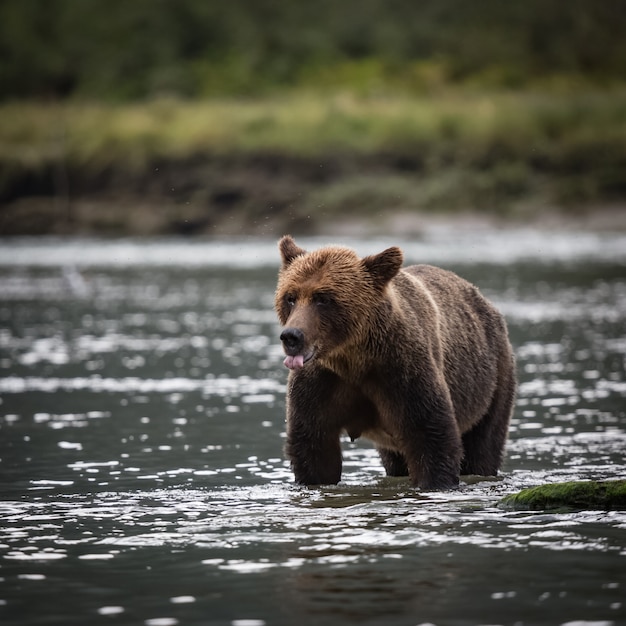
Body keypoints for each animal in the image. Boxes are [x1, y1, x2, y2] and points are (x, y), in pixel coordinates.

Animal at [276, 234, 516, 488]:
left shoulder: (402, 372)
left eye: (323, 298)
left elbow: (432, 438)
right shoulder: (321, 385)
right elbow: (313, 449)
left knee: (484, 445)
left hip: (493, 378)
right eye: (290, 297)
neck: (353, 358)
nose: (292, 336)